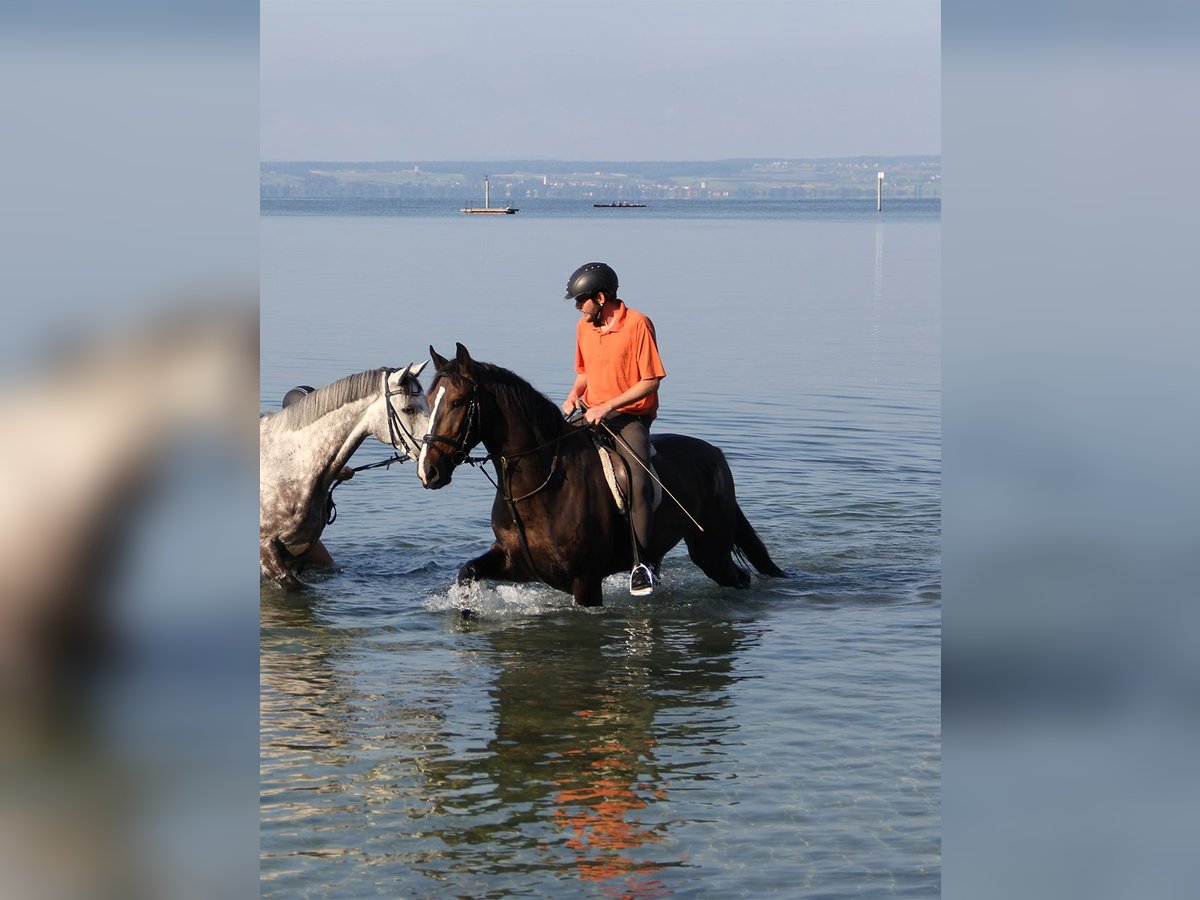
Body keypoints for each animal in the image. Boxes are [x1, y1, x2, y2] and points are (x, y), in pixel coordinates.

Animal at [415, 343, 787, 607]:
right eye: (430, 399)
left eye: (458, 402)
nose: (428, 471)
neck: (539, 485)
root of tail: (715, 454)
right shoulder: (515, 563)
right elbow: (467, 572)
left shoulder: (586, 582)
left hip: (711, 550)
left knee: (740, 577)